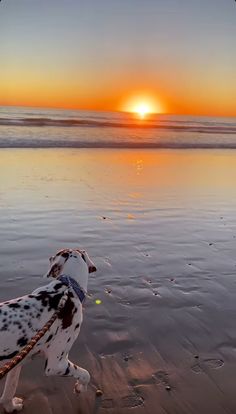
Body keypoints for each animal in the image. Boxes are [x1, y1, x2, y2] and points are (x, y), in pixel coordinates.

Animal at [0, 247, 97, 412]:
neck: (67, 288)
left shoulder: (16, 362)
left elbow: (9, 391)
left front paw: (11, 407)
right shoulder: (56, 365)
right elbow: (85, 373)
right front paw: (81, 387)